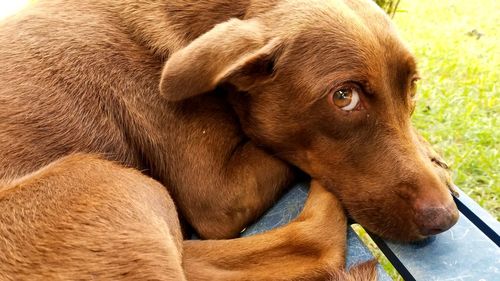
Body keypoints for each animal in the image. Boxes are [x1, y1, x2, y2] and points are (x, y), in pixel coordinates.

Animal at [0, 0, 458, 278]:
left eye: (412, 87)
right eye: (344, 96)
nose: (447, 218)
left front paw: (430, 154)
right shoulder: (218, 196)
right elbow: (275, 148)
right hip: (112, 183)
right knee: (312, 243)